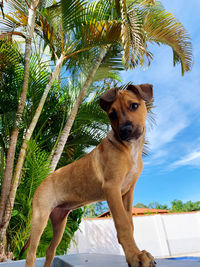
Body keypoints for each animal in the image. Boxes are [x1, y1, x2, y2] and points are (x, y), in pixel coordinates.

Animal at [25, 84, 155, 267]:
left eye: (134, 106)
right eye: (112, 114)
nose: (126, 130)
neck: (129, 149)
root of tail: (41, 182)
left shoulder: (127, 192)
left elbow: (130, 225)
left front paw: (135, 254)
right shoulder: (112, 188)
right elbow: (123, 225)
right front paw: (135, 257)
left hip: (59, 222)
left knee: (50, 251)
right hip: (40, 218)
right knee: (32, 254)